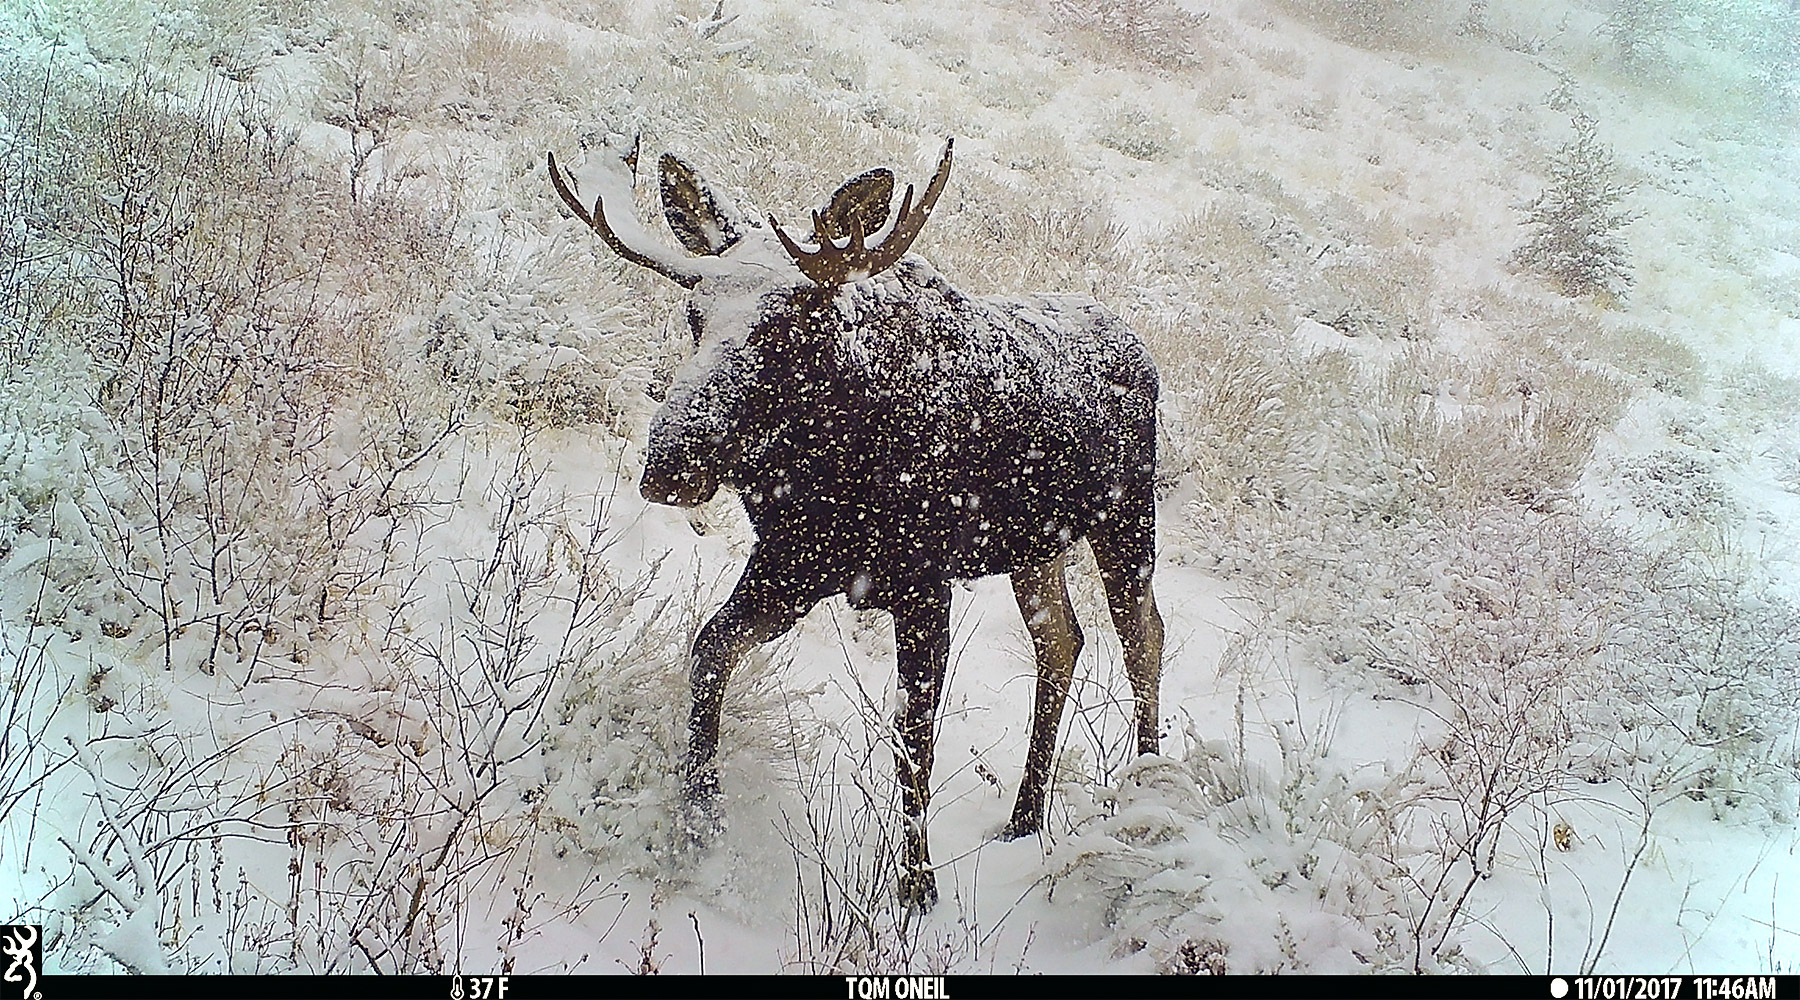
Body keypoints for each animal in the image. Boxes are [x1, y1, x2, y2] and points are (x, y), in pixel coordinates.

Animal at [548, 136, 1164, 910]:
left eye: (788, 327)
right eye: (694, 316)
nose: (669, 463)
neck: (829, 476)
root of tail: (1143, 350)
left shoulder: (924, 581)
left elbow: (914, 735)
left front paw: (917, 887)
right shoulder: (792, 565)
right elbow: (709, 650)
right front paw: (698, 829)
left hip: (1126, 520)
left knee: (1145, 640)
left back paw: (1145, 799)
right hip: (1034, 548)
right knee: (1063, 639)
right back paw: (1026, 817)